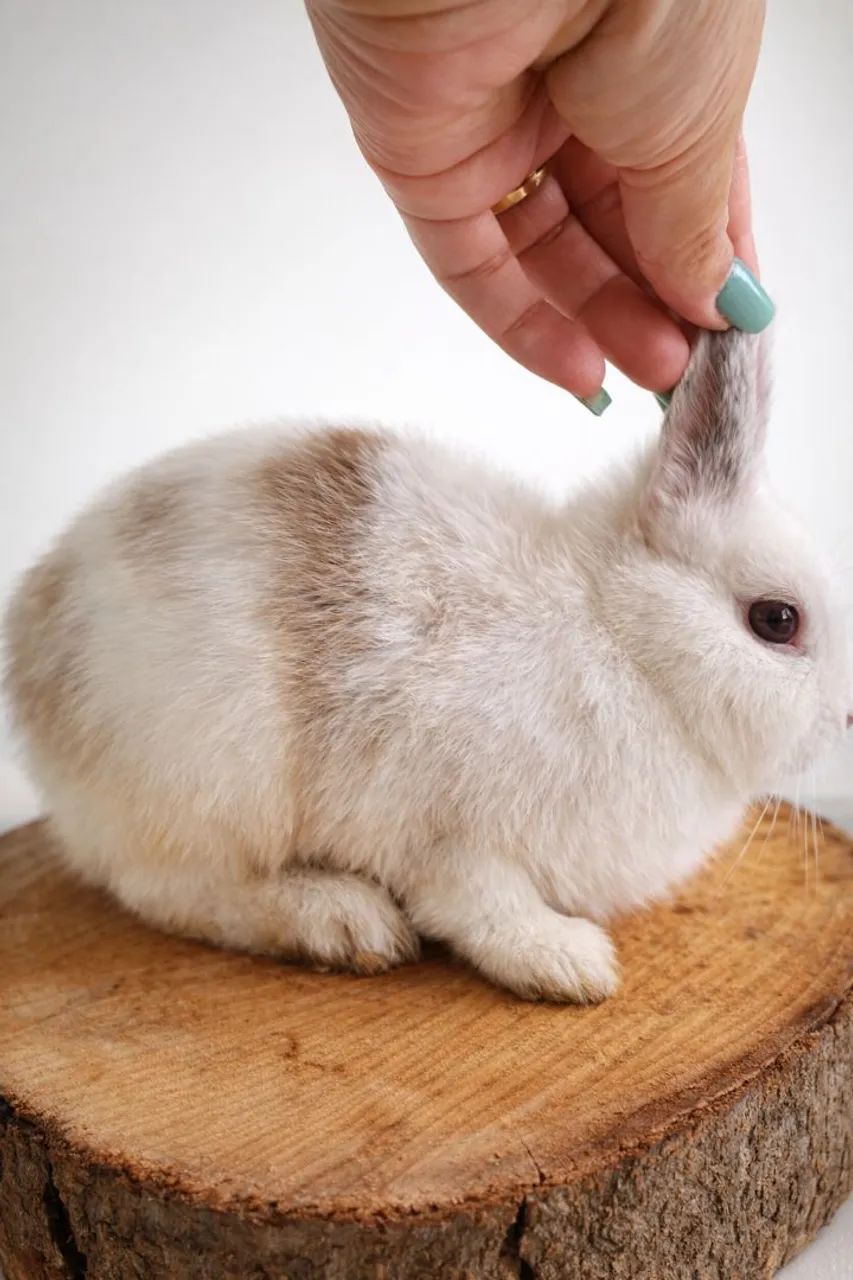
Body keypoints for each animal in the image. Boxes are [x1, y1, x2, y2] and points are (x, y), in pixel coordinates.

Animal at [3, 329, 850, 1003]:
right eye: (775, 621)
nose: (844, 718)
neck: (620, 637)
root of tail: (30, 650)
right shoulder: (451, 835)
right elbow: (482, 907)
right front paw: (568, 966)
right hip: (211, 779)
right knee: (169, 889)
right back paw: (343, 923)